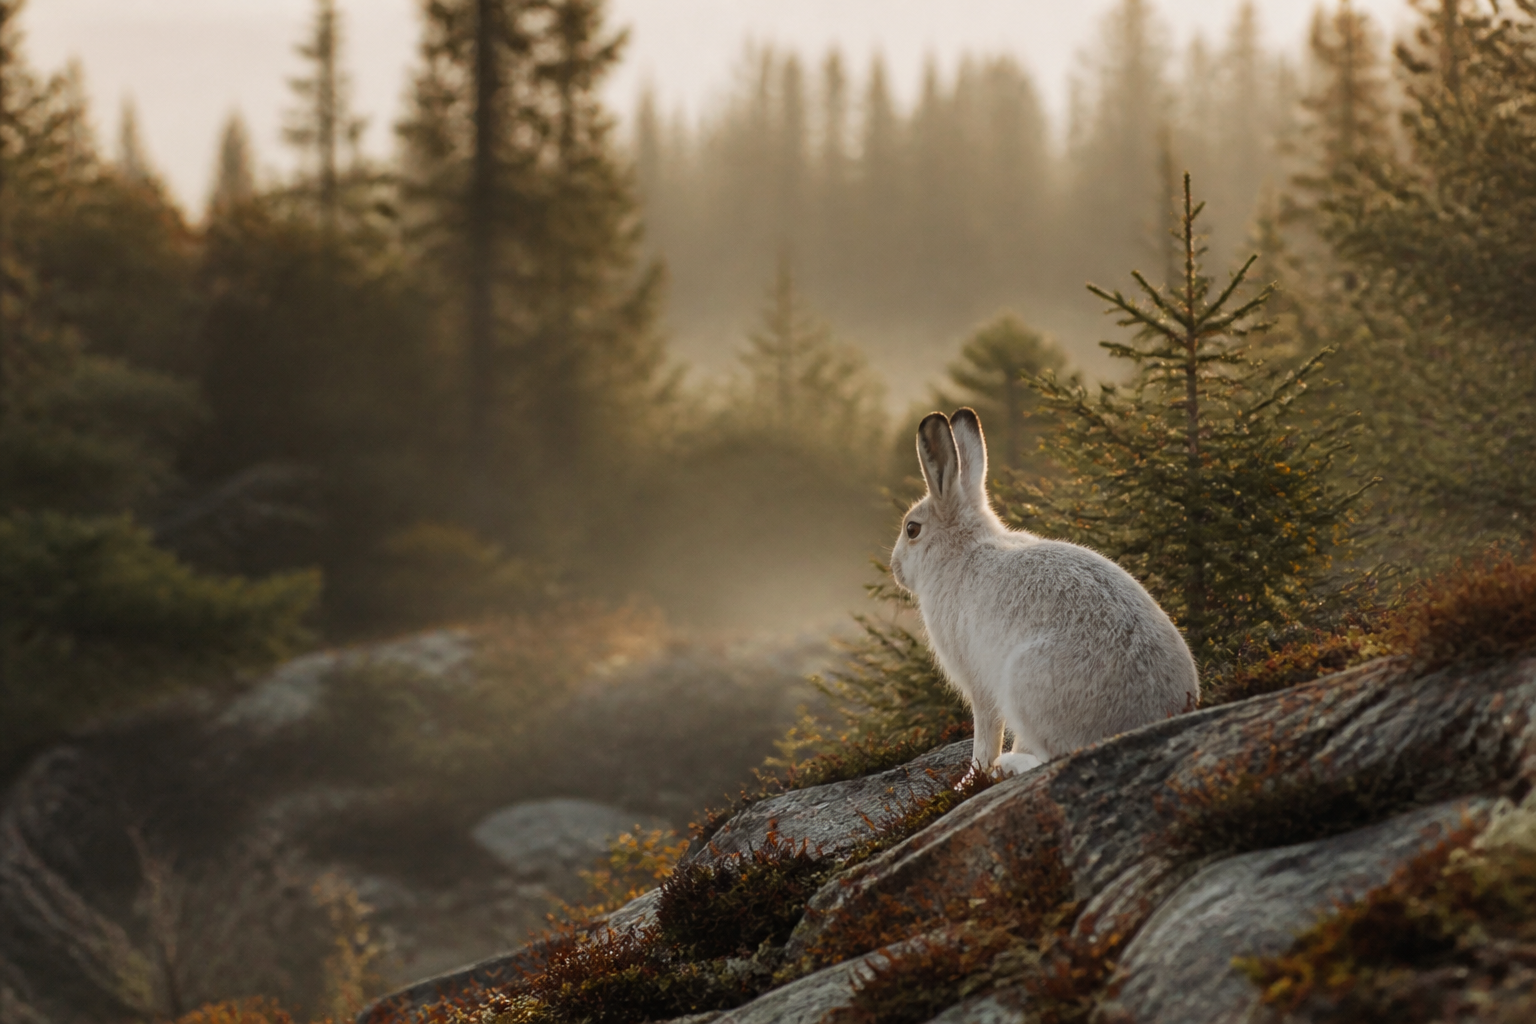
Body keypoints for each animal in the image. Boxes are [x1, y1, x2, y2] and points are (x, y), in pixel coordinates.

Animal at [890, 408, 1199, 776]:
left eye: (912, 529)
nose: (895, 568)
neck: (962, 548)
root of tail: (1152, 714)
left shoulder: (978, 681)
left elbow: (986, 733)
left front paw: (971, 777)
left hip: (1024, 683)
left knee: (1055, 755)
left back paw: (1009, 764)